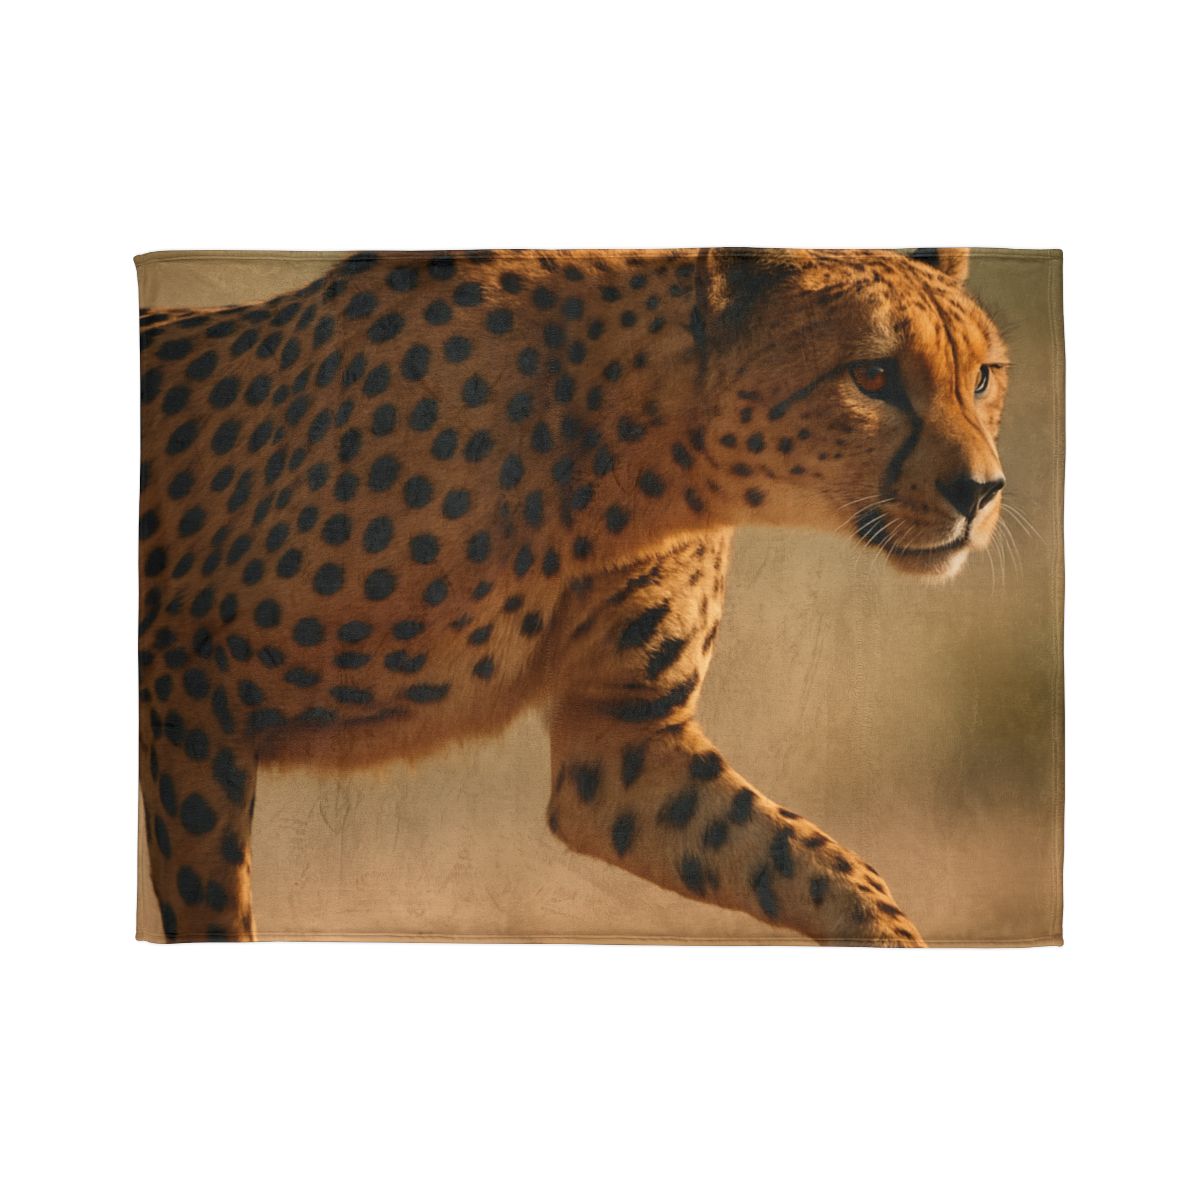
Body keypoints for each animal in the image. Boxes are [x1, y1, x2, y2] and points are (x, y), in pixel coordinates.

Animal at [137, 246, 1009, 945]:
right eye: (872, 375)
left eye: (982, 377)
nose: (981, 491)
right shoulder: (185, 693)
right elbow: (215, 909)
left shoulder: (623, 745)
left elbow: (829, 866)